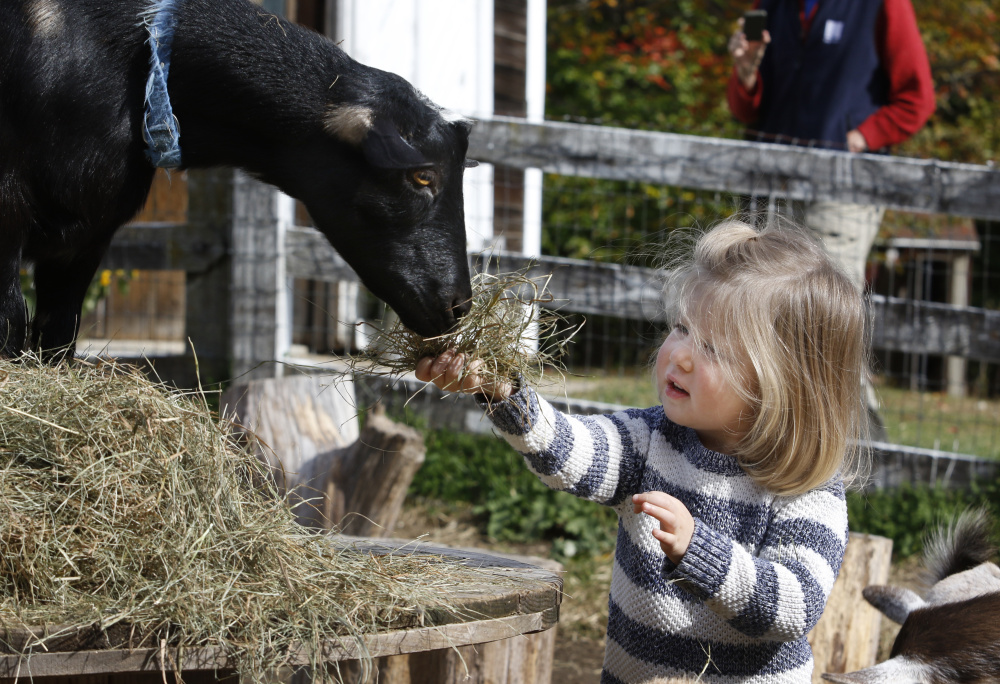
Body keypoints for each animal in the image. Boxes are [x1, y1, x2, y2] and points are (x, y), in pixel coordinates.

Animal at [0, 0, 476, 360]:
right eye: (422, 176)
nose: (459, 307)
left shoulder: (88, 235)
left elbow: (58, 334)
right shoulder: (10, 212)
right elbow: (12, 321)